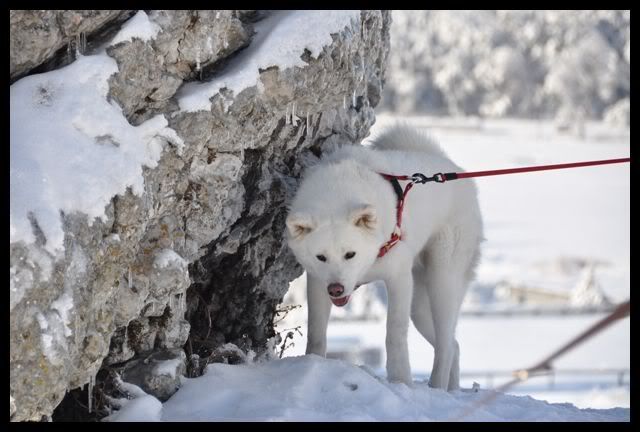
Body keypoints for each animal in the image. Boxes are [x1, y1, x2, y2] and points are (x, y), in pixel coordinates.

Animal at [285, 124, 483, 390]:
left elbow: (395, 333)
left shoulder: (399, 277)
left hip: (443, 281)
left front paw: (401, 380)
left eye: (350, 254)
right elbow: (316, 332)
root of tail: (453, 169)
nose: (336, 289)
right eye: (321, 257)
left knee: (445, 345)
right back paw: (450, 390)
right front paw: (314, 361)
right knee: (454, 344)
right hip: (419, 305)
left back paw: (437, 385)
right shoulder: (317, 283)